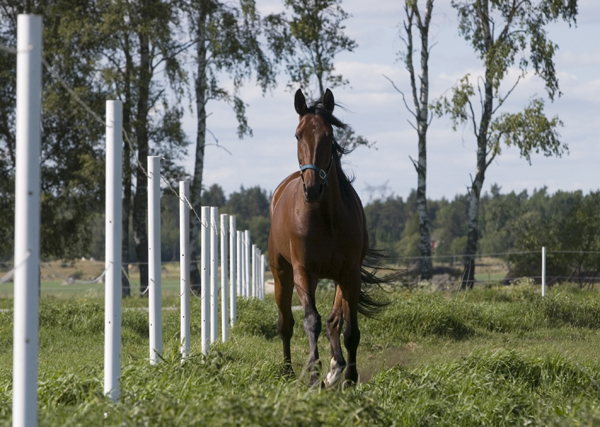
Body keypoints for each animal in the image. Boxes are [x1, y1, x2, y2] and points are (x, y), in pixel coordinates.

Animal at [268, 87, 390, 388]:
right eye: (298, 135)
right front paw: (314, 377)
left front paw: (349, 378)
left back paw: (336, 368)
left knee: (335, 320)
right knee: (285, 323)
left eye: (329, 135)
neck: (326, 218)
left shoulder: (350, 274)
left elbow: (349, 329)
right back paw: (288, 370)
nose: (312, 189)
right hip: (281, 274)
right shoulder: (303, 272)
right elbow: (311, 321)